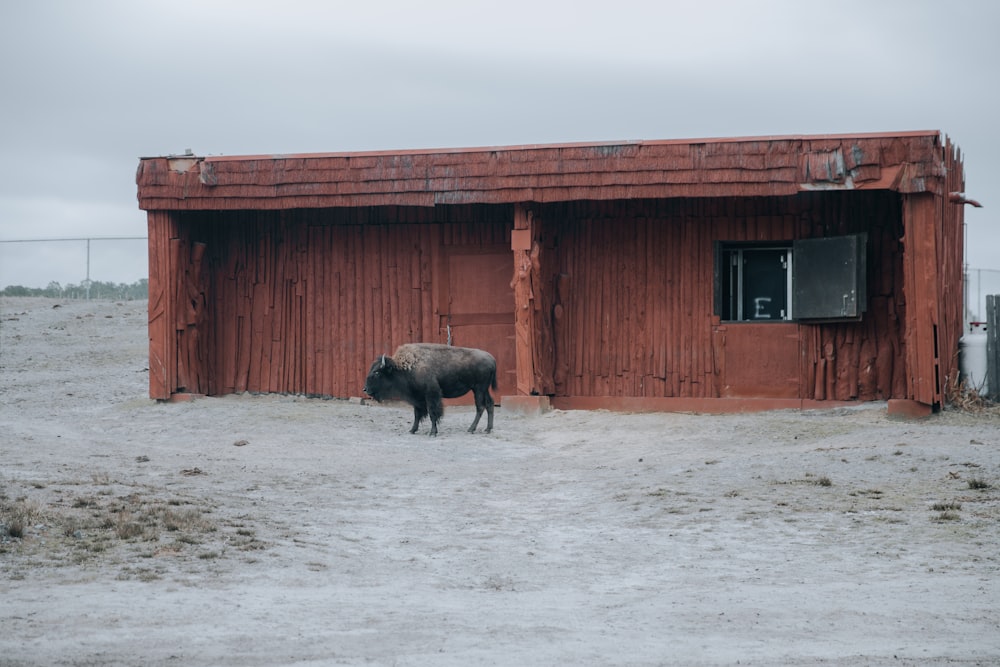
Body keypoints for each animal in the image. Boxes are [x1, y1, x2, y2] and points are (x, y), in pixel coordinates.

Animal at [362, 344, 498, 438]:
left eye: (377, 372)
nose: (365, 389)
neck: (406, 367)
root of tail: (492, 359)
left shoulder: (431, 395)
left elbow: (433, 413)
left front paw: (432, 432)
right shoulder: (417, 398)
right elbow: (417, 414)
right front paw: (412, 430)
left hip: (478, 389)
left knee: (480, 407)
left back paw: (471, 429)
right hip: (483, 389)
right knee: (490, 404)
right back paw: (488, 429)